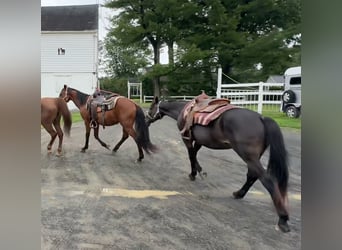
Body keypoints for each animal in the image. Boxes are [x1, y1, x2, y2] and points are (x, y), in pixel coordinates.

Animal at [146, 97, 292, 232]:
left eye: (151, 107)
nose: (146, 120)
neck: (183, 110)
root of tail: (261, 118)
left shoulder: (187, 138)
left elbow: (191, 156)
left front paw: (193, 174)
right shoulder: (199, 141)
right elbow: (195, 154)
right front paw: (200, 171)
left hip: (248, 156)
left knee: (267, 180)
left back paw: (283, 218)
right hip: (253, 157)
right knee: (252, 175)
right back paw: (239, 193)